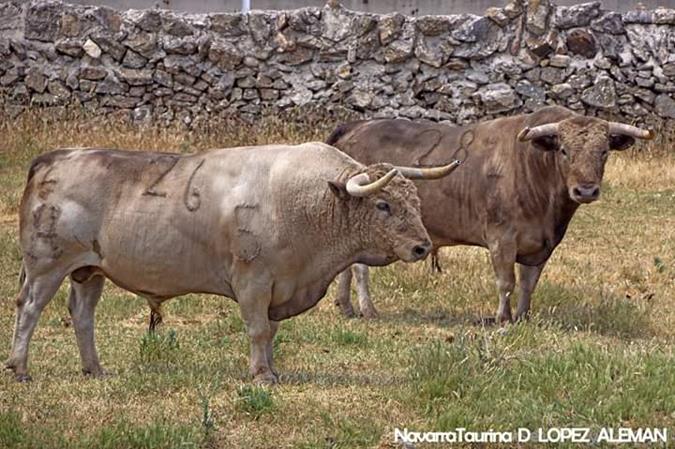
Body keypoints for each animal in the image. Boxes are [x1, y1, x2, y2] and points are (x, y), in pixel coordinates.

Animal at [328, 105, 656, 322]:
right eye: (564, 150)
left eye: (604, 152)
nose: (586, 190)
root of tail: (357, 126)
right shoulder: (502, 238)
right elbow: (506, 281)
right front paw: (502, 318)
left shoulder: (542, 245)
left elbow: (528, 283)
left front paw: (522, 317)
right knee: (360, 269)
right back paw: (368, 309)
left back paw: (347, 307)